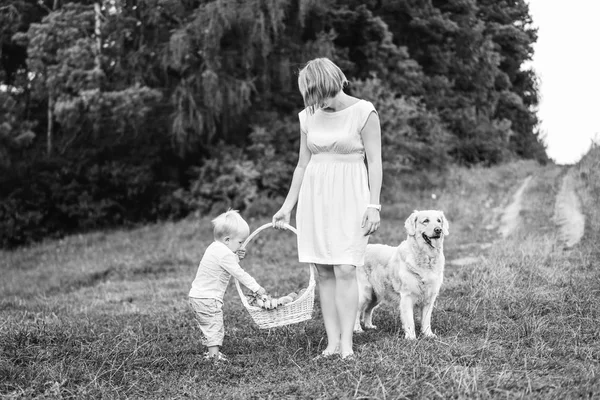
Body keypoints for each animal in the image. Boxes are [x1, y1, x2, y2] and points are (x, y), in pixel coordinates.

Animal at [354, 211, 448, 340]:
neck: (426, 259)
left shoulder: (430, 297)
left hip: (376, 295)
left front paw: (428, 335)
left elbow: (426, 320)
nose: (439, 230)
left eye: (439, 221)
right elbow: (410, 321)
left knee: (368, 310)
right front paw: (411, 338)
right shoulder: (407, 296)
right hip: (364, 293)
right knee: (357, 311)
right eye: (426, 221)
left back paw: (369, 326)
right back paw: (357, 329)